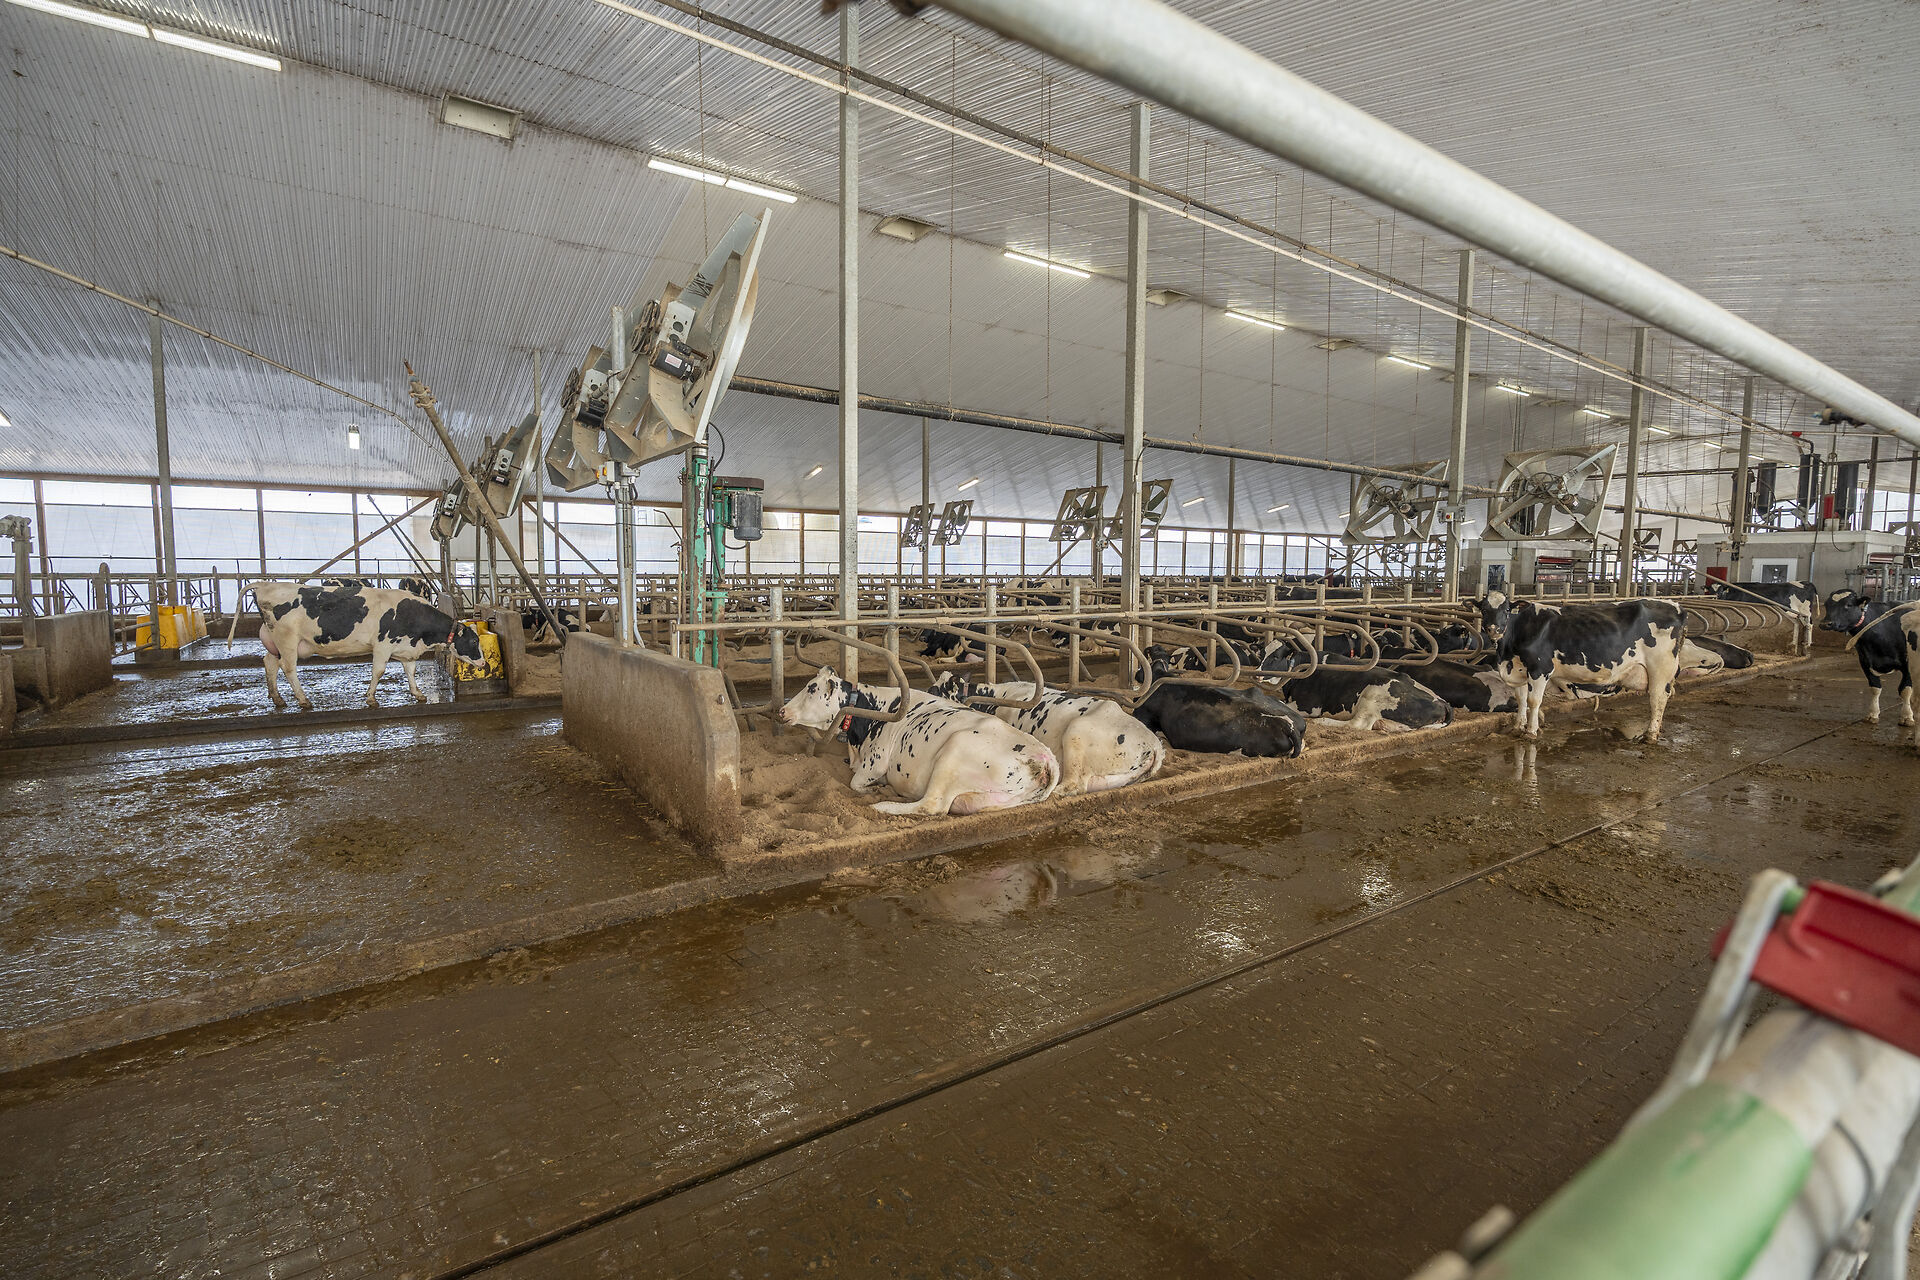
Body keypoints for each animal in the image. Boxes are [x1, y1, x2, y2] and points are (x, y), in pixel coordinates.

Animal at [239, 581, 484, 710]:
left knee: (270, 663)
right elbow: (379, 671)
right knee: (288, 668)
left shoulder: (407, 649)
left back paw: (277, 698)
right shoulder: (383, 644)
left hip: (277, 644)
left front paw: (418, 694)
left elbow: (411, 671)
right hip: (288, 641)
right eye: (474, 641)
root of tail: (265, 585)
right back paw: (303, 700)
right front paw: (371, 698)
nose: (483, 663)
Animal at [777, 666, 1058, 816]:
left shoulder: (876, 762)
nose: (781, 710)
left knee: (931, 805)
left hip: (953, 751)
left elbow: (856, 783)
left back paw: (884, 806)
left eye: (812, 689)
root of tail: (1045, 757)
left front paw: (873, 790)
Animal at [1495, 598, 1687, 741]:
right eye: (1487, 608)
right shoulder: (1520, 670)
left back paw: (1650, 735)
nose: (1493, 629)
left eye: (1506, 610)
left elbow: (1534, 701)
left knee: (1657, 699)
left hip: (1660, 669)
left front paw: (1530, 732)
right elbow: (1521, 699)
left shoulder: (1540, 669)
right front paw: (1518, 727)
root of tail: (1676, 607)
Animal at [1820, 591, 1916, 726]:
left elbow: (1905, 690)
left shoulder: (1908, 664)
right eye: (1827, 604)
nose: (1825, 624)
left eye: (1848, 604)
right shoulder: (1865, 661)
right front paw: (1872, 714)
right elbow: (1875, 688)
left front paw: (1907, 716)